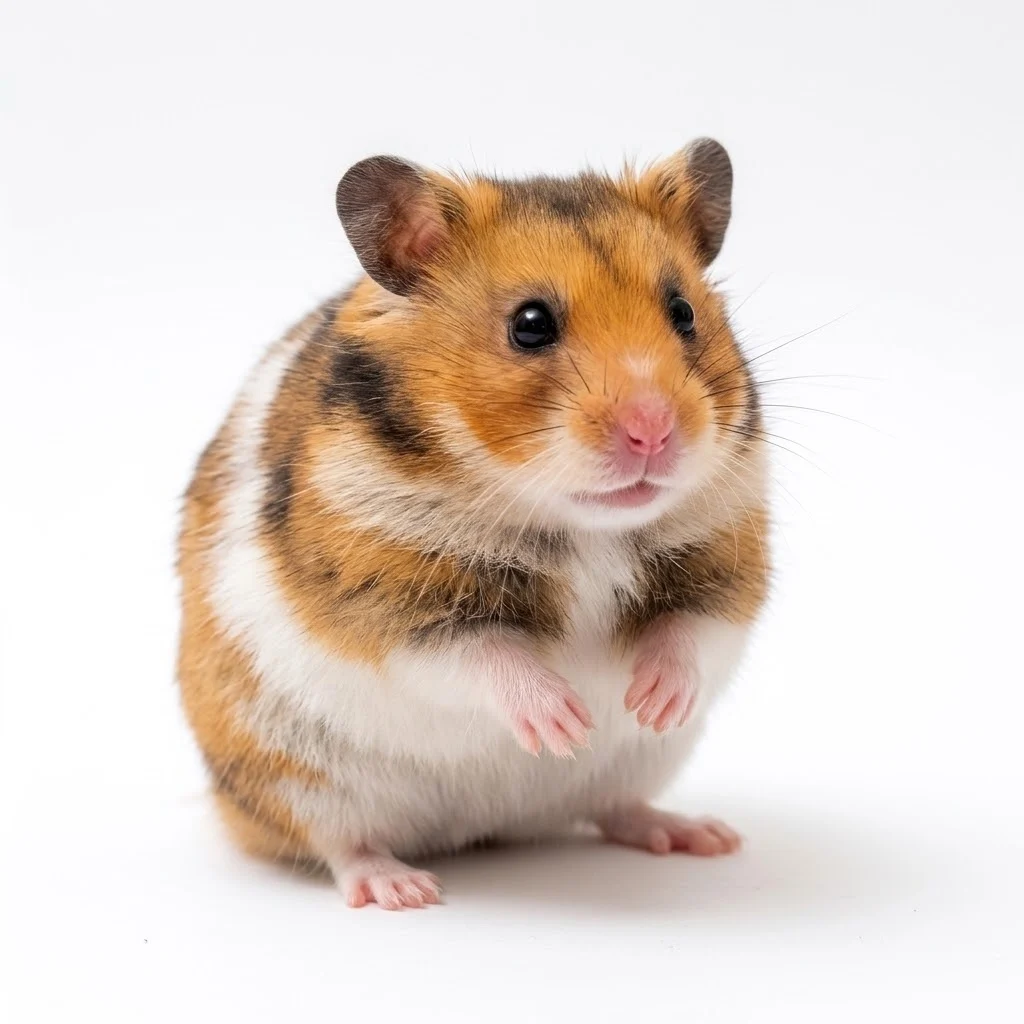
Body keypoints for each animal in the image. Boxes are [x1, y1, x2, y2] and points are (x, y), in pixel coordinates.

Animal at [176, 138, 770, 910]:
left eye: (683, 312)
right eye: (530, 324)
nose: (653, 432)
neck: (580, 525)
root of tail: (483, 830)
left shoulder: (728, 559)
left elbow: (689, 630)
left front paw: (648, 702)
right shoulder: (385, 596)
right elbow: (483, 656)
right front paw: (565, 723)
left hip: (639, 768)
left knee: (613, 807)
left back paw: (698, 835)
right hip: (293, 775)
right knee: (341, 844)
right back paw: (402, 889)